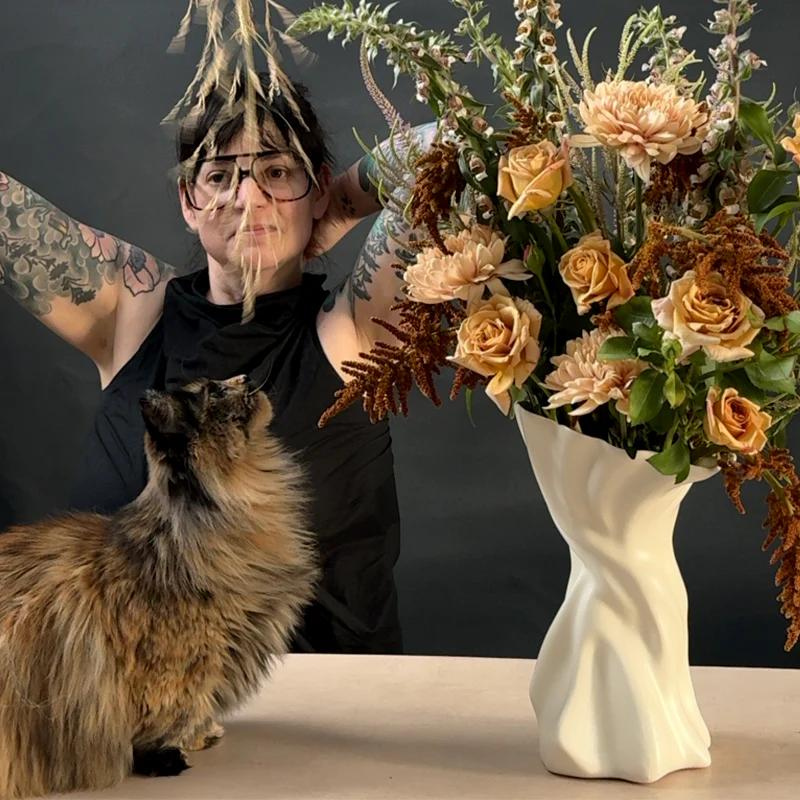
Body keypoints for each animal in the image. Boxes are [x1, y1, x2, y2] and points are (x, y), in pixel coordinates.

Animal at [0, 376, 318, 800]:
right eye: (215, 391)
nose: (247, 379)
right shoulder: (179, 658)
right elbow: (173, 709)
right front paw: (179, 749)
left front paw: (203, 733)